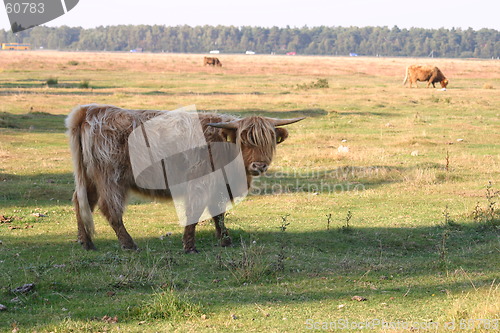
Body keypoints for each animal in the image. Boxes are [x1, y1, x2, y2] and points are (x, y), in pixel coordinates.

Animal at [64, 104, 302, 252]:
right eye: (244, 140)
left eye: (268, 141)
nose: (259, 165)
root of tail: (90, 110)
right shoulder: (199, 183)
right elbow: (195, 212)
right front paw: (189, 246)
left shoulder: (219, 187)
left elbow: (219, 214)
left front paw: (225, 240)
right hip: (111, 177)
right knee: (110, 209)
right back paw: (129, 244)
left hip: (89, 178)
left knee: (81, 202)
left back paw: (86, 242)